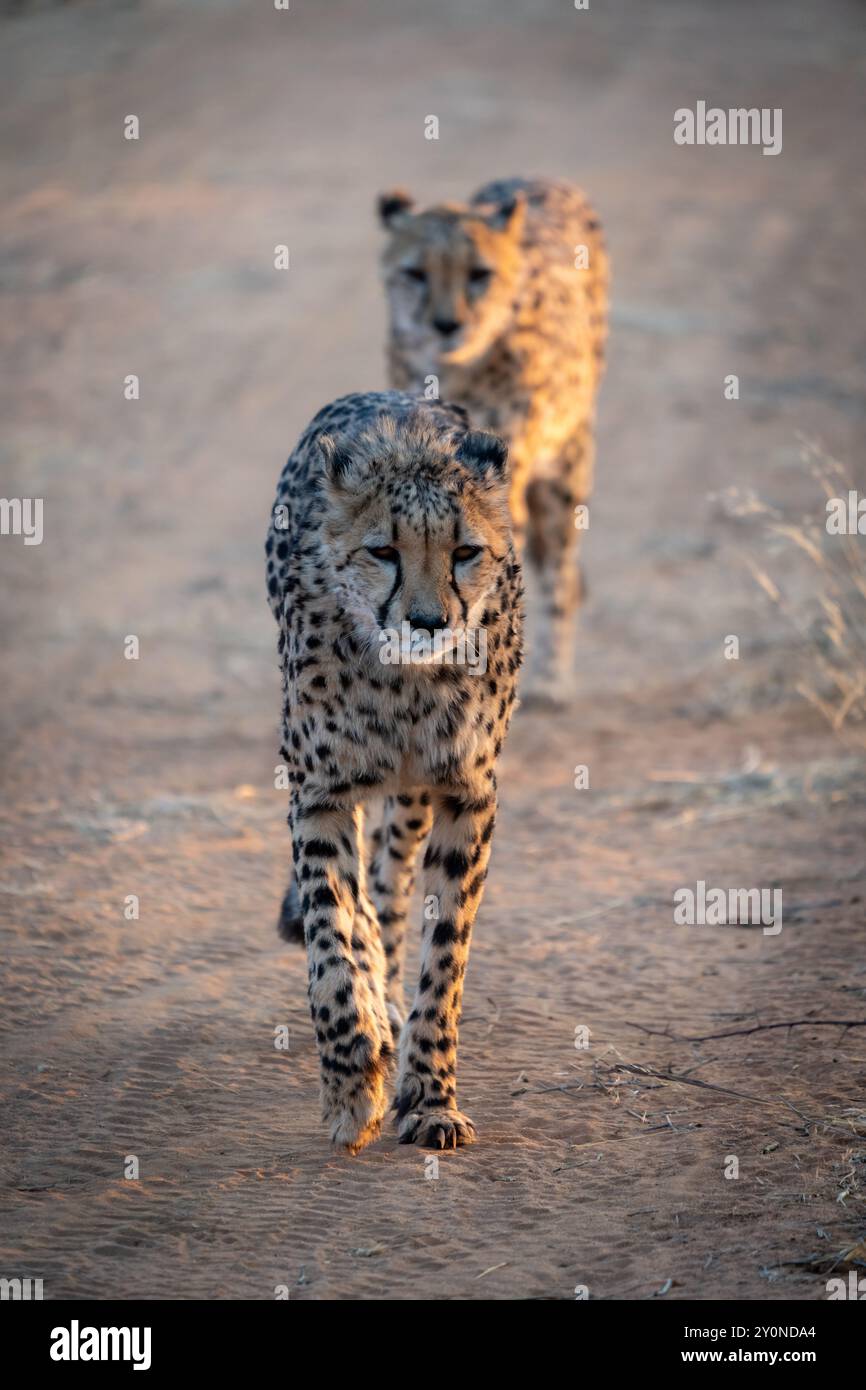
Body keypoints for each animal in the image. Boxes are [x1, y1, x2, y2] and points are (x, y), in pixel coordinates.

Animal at [264, 389, 522, 1150]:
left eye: (465, 552)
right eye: (383, 551)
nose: (429, 621)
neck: (405, 682)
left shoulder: (467, 796)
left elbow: (445, 960)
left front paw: (432, 1097)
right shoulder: (320, 791)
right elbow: (331, 942)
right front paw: (352, 1088)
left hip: (412, 798)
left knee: (390, 886)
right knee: (362, 912)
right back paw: (376, 1024)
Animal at [378, 175, 608, 706]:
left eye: (478, 274)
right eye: (416, 273)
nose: (447, 324)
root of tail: (540, 179)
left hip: (568, 459)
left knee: (560, 570)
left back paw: (553, 678)